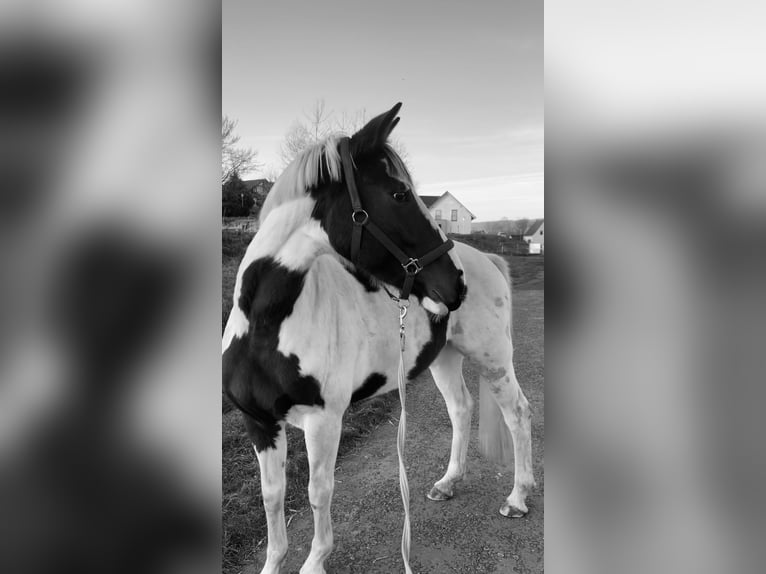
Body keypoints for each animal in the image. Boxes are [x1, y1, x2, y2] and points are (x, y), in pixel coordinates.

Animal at [222, 103, 535, 574]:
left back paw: (517, 497)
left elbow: (318, 493)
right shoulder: (259, 423)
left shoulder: (324, 422)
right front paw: (274, 561)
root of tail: (485, 259)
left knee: (517, 413)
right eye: (399, 194)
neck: (266, 327)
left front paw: (315, 561)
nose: (455, 283)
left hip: (493, 358)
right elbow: (272, 498)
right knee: (461, 409)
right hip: (443, 358)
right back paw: (447, 483)